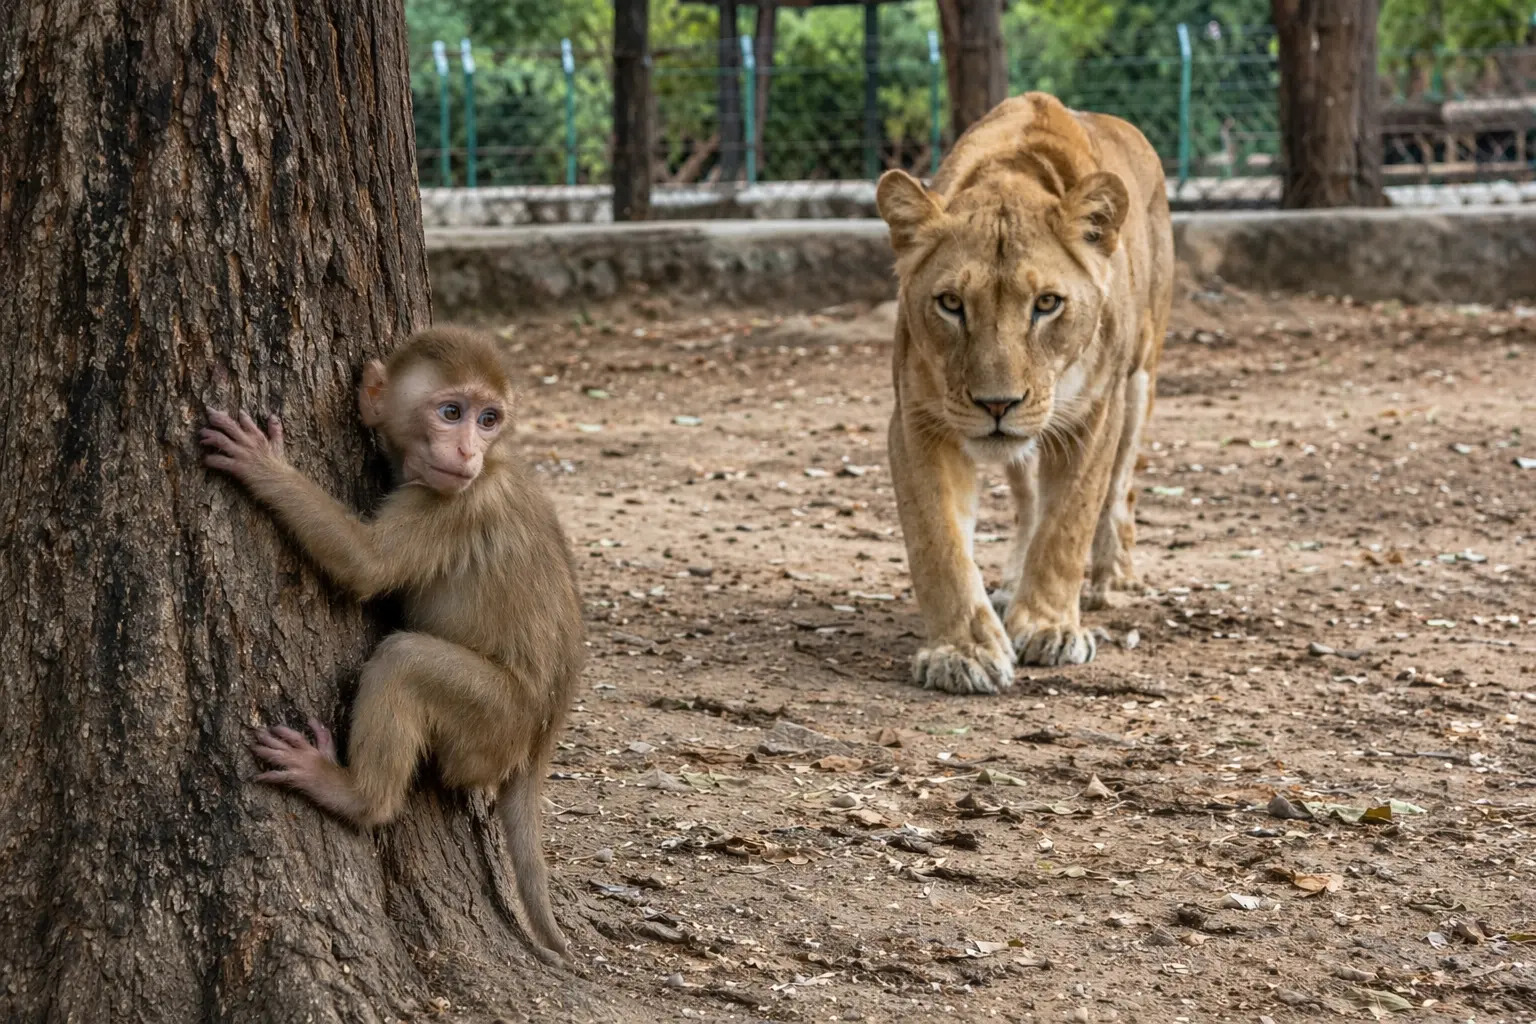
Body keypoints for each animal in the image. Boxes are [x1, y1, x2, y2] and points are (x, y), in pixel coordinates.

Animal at [200, 326, 585, 965]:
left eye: (488, 419)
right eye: (452, 412)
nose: (467, 452)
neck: (492, 465)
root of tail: (543, 734)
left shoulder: (450, 505)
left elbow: (366, 565)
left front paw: (266, 468)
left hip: (495, 722)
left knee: (406, 663)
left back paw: (354, 796)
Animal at [875, 92, 1173, 695]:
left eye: (1047, 304)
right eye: (950, 303)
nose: (997, 404)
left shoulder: (1094, 415)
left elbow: (1068, 524)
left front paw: (1049, 627)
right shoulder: (918, 420)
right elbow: (937, 539)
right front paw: (963, 650)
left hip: (1139, 382)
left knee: (1121, 489)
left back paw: (1112, 579)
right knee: (1030, 500)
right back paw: (1012, 585)